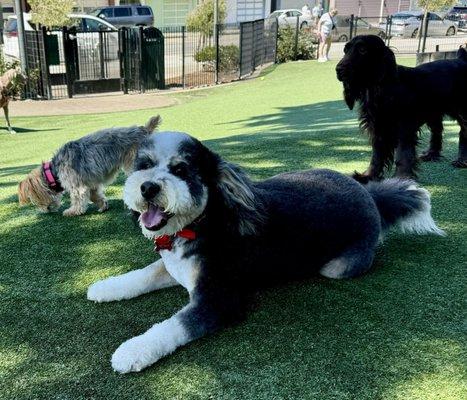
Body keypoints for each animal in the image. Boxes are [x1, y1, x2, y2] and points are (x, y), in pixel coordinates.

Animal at [18, 115, 162, 216]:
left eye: (34, 200)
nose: (43, 211)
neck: (53, 171)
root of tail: (144, 129)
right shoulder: (91, 184)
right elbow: (95, 195)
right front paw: (103, 205)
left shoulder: (77, 186)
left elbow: (77, 199)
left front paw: (73, 211)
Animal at [87, 130, 446, 372]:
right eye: (144, 166)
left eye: (181, 171)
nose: (148, 187)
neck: (201, 221)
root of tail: (371, 196)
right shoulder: (174, 265)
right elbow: (143, 275)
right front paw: (106, 287)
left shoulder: (219, 299)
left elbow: (173, 326)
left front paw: (133, 351)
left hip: (338, 266)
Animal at [336, 35, 467, 182]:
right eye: (345, 50)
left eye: (362, 50)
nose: (338, 69)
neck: (379, 89)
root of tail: (462, 59)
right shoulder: (378, 128)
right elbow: (376, 156)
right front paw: (368, 175)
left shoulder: (404, 127)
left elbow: (403, 154)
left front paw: (402, 178)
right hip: (433, 112)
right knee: (437, 131)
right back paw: (431, 154)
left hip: (462, 112)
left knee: (463, 133)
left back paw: (462, 161)